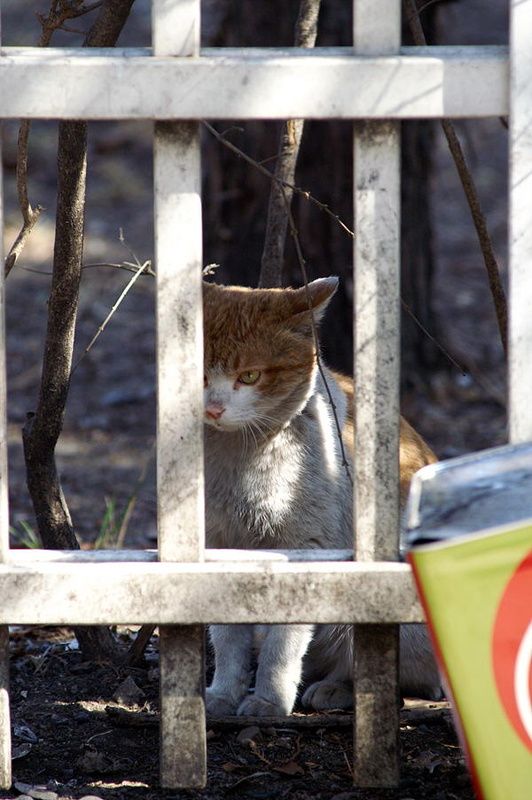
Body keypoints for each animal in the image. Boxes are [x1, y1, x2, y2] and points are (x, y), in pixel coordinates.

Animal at [204, 278, 440, 716]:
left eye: (249, 375)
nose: (213, 409)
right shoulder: (217, 544)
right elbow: (227, 637)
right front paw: (225, 693)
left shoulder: (305, 547)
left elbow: (284, 641)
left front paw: (269, 700)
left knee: (403, 677)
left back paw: (334, 687)